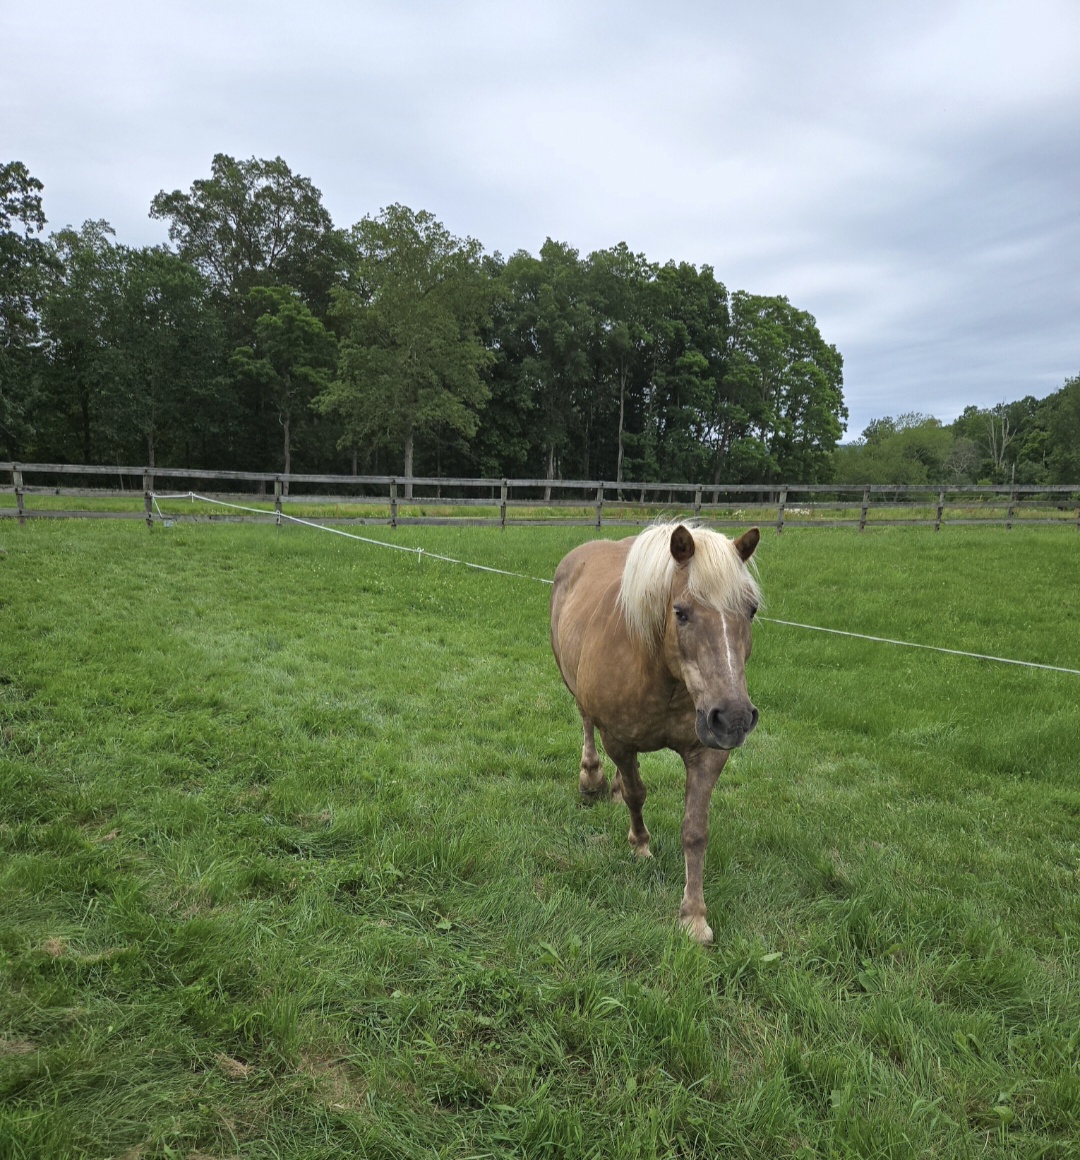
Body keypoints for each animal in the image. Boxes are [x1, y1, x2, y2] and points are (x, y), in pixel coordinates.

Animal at [550, 522, 762, 944]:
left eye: (751, 609)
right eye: (680, 612)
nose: (733, 718)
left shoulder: (708, 753)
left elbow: (695, 831)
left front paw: (693, 916)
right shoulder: (618, 740)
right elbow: (637, 794)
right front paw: (640, 846)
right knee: (586, 723)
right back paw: (592, 778)